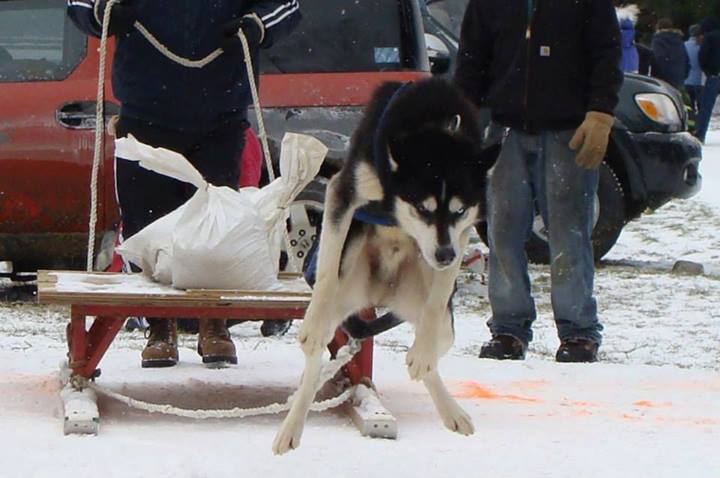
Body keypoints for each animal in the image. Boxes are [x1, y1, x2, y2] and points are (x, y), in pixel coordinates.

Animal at [272, 79, 498, 456]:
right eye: (422, 208)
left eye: (460, 210)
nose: (444, 256)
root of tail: (379, 294)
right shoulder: (342, 195)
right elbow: (327, 271)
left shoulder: (462, 232)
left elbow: (438, 301)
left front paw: (421, 355)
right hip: (343, 299)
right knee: (314, 359)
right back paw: (292, 425)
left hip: (438, 320)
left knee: (432, 348)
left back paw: (448, 406)